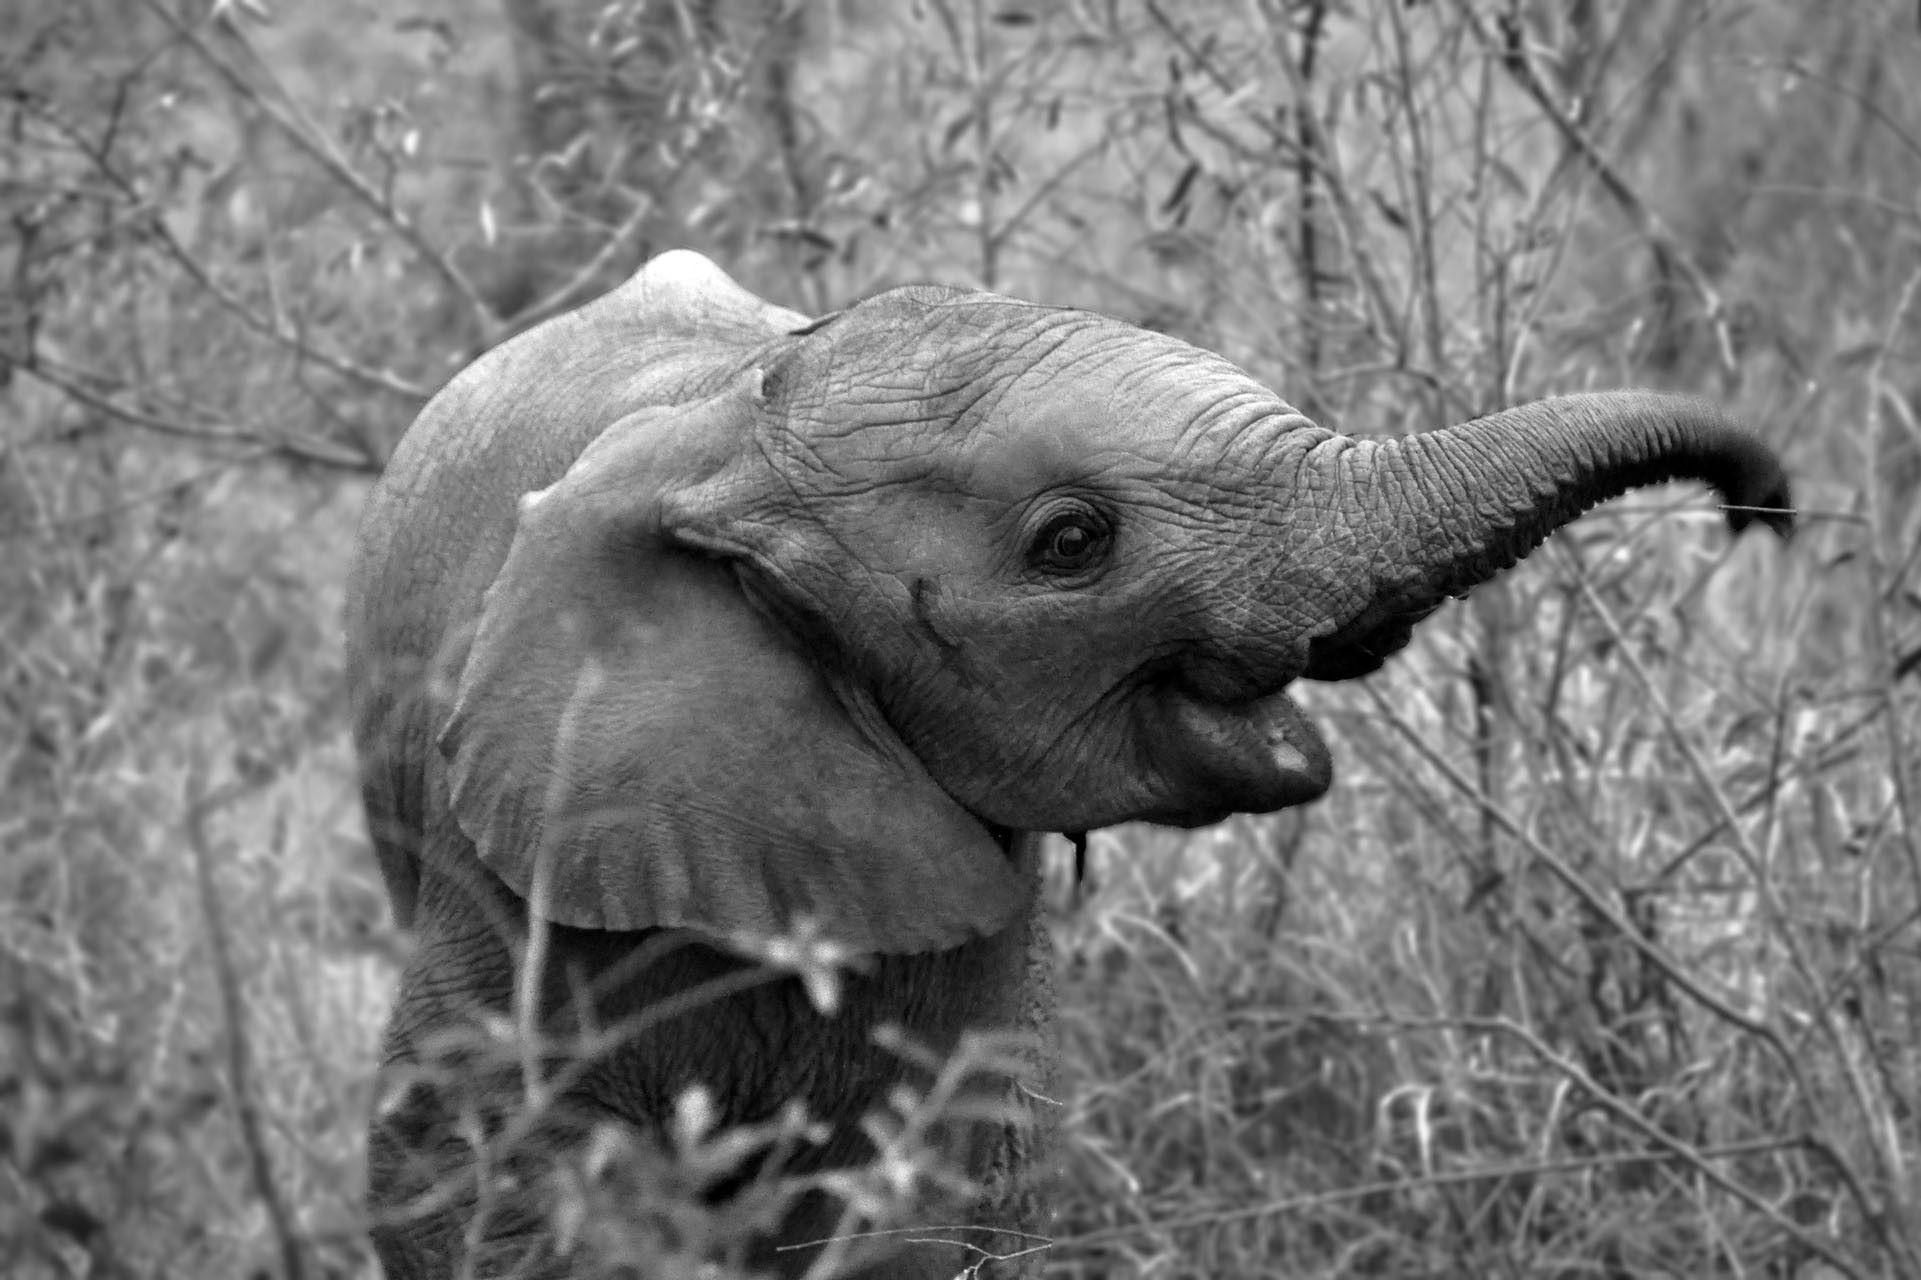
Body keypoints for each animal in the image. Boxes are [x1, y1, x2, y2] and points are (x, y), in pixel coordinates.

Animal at [343, 250, 1792, 1278]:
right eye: (1072, 542)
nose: (1756, 516)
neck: (731, 437)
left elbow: (922, 1181)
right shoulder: (509, 859)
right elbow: (465, 1177)